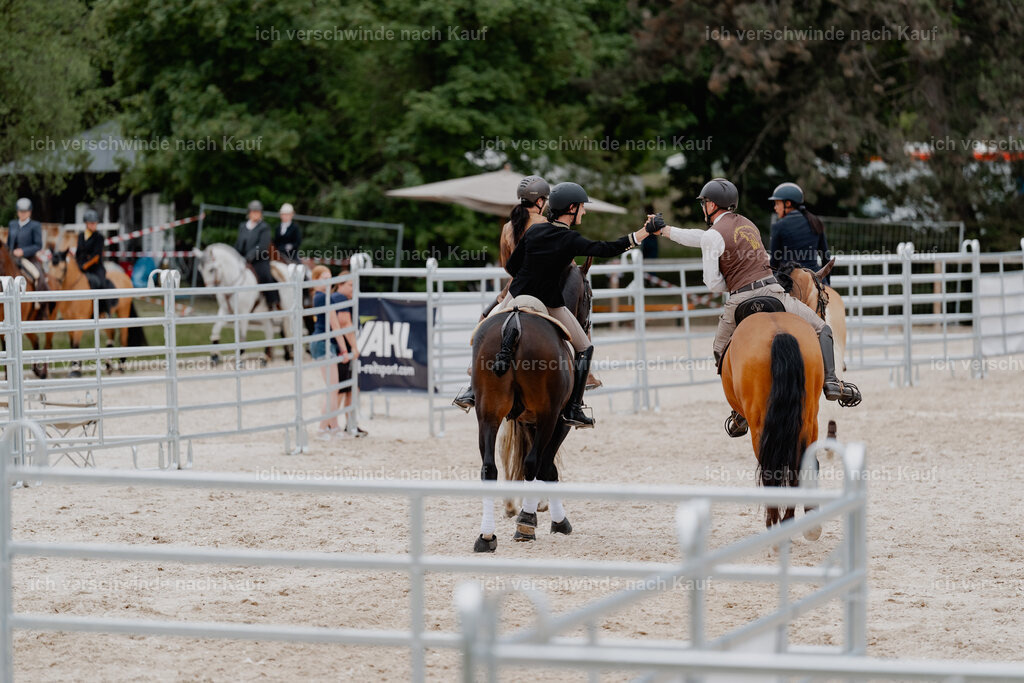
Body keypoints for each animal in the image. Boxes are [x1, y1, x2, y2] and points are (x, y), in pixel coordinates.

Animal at [470, 298, 576, 553]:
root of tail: (513, 326)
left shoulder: (525, 421)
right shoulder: (559, 422)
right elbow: (547, 467)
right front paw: (557, 521)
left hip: (487, 415)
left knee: (489, 468)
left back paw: (487, 536)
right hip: (548, 416)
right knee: (532, 463)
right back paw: (525, 524)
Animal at [721, 305, 824, 533]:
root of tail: (779, 332)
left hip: (760, 427)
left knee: (770, 472)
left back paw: (774, 523)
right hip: (806, 421)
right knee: (796, 469)